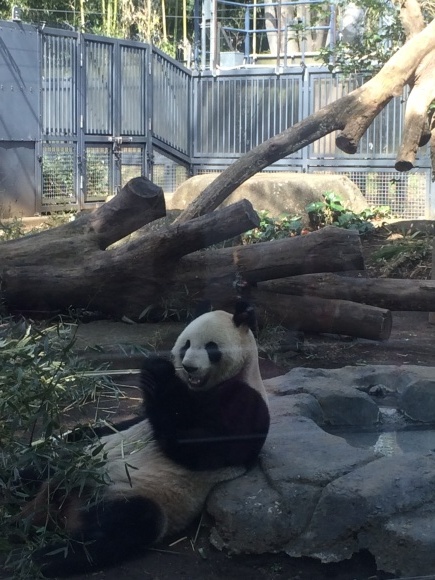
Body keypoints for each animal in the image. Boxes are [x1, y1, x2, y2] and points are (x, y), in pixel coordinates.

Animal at [23, 302, 270, 576]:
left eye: (211, 347)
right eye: (186, 344)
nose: (189, 367)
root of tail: (63, 500)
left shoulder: (246, 403)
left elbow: (196, 447)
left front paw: (157, 373)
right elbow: (126, 424)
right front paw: (74, 432)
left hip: (138, 494)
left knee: (125, 527)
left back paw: (44, 558)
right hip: (73, 462)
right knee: (35, 469)